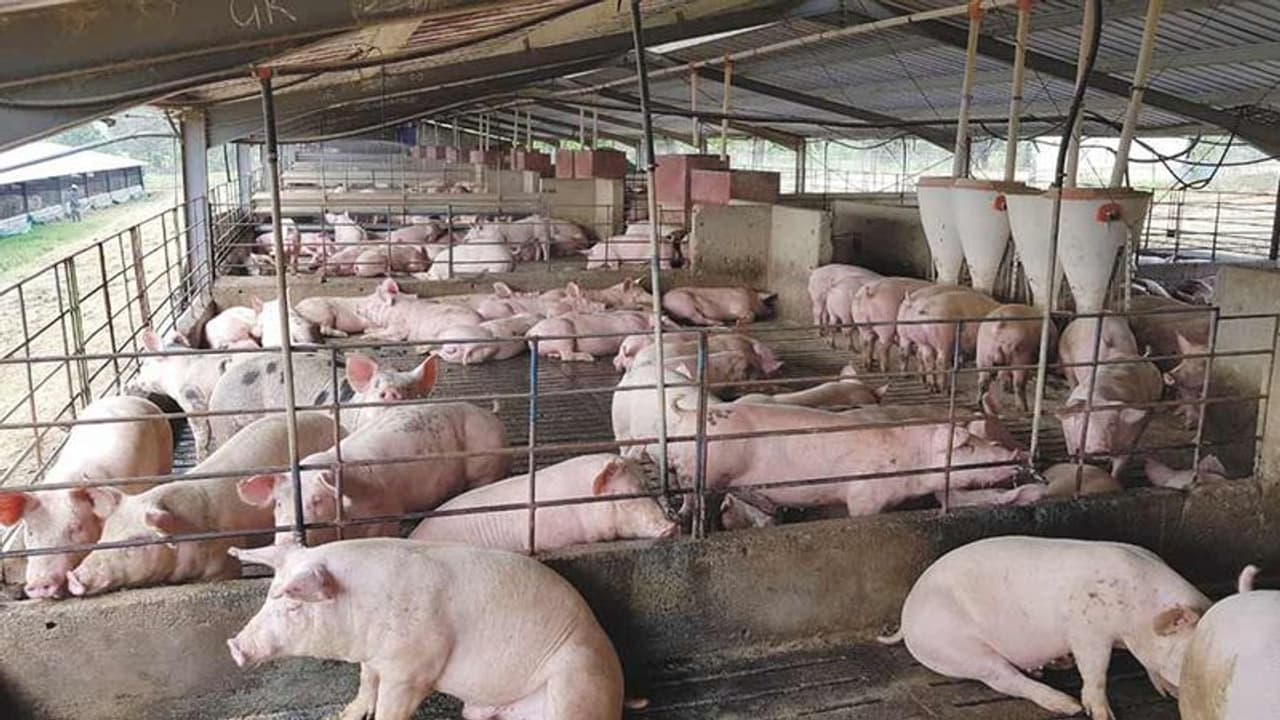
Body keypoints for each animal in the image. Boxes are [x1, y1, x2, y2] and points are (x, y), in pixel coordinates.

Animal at [227, 538, 628, 720]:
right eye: (267, 597)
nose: (234, 644)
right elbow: (366, 684)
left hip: (577, 680)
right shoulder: (374, 658)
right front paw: (344, 714)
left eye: (294, 606)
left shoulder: (413, 668)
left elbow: (390, 707)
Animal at [238, 402, 509, 546]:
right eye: (278, 503)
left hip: (485, 466)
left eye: (317, 500)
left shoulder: (387, 512)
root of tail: (491, 415)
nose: (286, 541)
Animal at [662, 397, 1024, 515]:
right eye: (967, 446)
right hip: (705, 475)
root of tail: (686, 414)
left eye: (980, 439)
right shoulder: (865, 495)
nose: (1016, 452)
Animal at [880, 536, 1209, 719]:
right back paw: (1066, 704)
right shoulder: (1086, 628)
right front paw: (1100, 715)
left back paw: (1054, 665)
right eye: (1188, 660)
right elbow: (1095, 672)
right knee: (1005, 679)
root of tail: (907, 617)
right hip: (959, 649)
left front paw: (1166, 692)